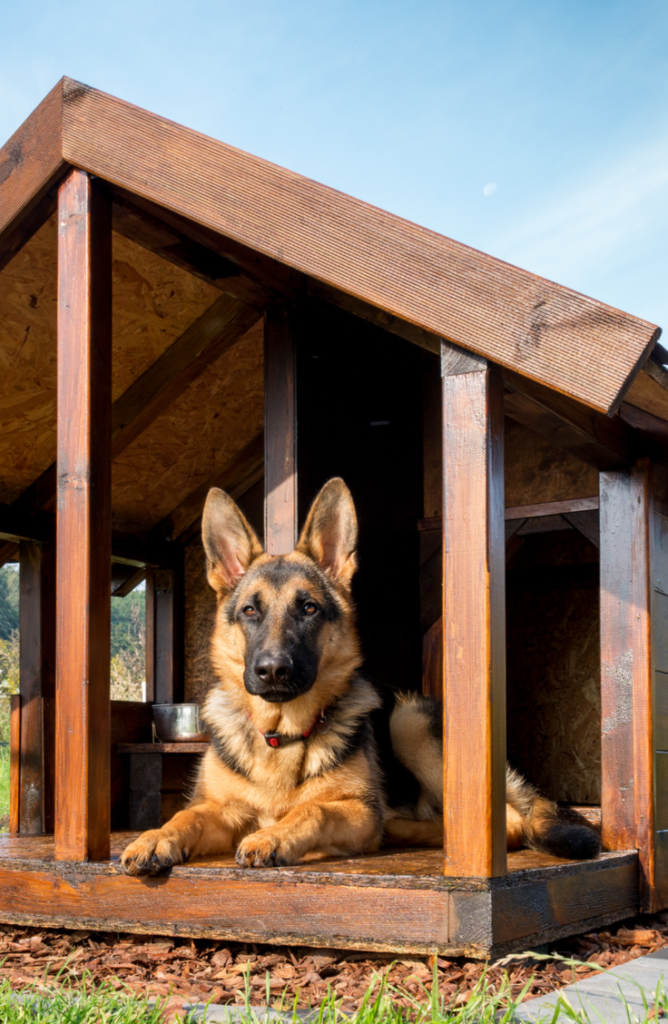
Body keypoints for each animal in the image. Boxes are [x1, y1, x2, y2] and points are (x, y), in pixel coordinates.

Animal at [119, 477, 598, 872]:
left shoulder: (352, 808)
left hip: (408, 722)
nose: (273, 670)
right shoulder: (220, 808)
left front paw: (275, 835)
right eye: (250, 611)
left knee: (509, 823)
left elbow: (314, 809)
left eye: (308, 608)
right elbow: (185, 815)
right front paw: (154, 837)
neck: (281, 736)